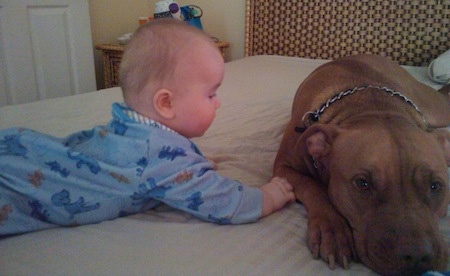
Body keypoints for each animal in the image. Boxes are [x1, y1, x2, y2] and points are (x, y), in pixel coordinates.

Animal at [272, 54, 450, 276]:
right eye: (362, 184)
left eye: (435, 186)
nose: (417, 256)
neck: (373, 109)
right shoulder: (283, 168)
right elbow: (313, 188)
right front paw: (332, 230)